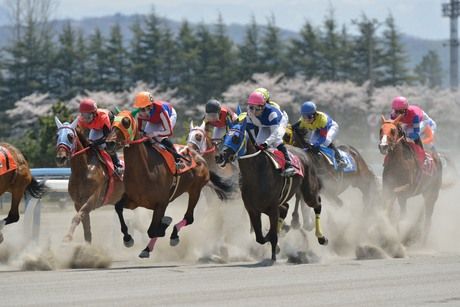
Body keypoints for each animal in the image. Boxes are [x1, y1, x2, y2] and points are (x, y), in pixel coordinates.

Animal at [105, 110, 234, 260]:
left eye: (126, 122)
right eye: (112, 122)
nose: (109, 143)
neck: (145, 170)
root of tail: (200, 158)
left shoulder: (161, 203)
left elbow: (153, 230)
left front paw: (165, 225)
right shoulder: (133, 201)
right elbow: (119, 209)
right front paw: (128, 238)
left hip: (195, 190)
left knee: (189, 218)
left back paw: (173, 235)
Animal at [218, 120, 328, 262]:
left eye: (236, 138)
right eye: (224, 137)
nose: (219, 156)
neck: (257, 173)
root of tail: (303, 152)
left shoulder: (272, 208)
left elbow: (272, 234)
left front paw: (274, 254)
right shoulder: (252, 209)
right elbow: (260, 237)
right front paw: (274, 239)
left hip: (309, 192)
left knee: (317, 204)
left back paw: (321, 237)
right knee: (286, 208)